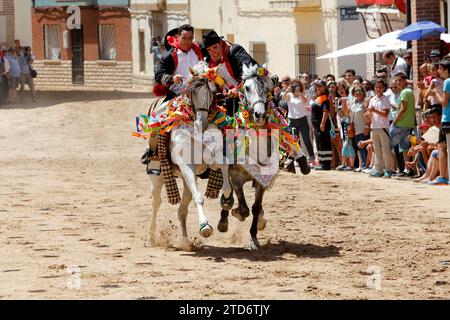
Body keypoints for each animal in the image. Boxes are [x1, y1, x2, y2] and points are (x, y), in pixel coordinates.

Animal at [148, 60, 232, 250]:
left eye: (213, 91)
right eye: (193, 90)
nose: (202, 123)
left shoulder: (212, 160)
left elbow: (225, 172)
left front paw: (226, 199)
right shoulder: (186, 165)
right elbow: (199, 198)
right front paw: (205, 227)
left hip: (186, 180)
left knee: (182, 210)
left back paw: (186, 242)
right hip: (158, 176)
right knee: (156, 202)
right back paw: (152, 238)